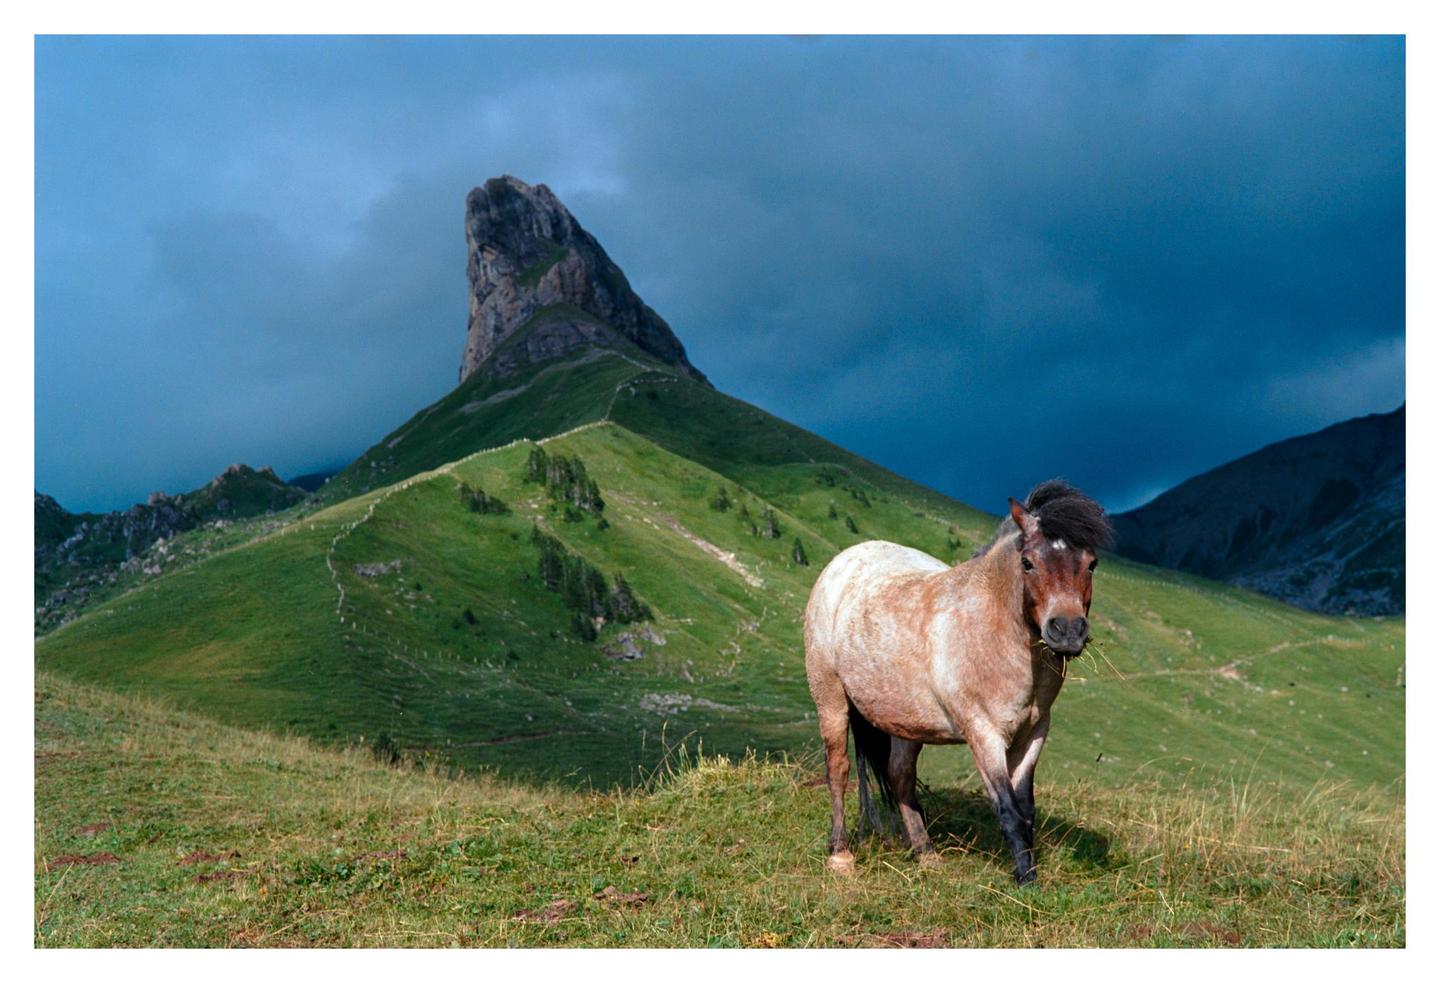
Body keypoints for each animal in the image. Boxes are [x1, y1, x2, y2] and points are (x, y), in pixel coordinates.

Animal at [803, 480, 1112, 885]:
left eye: (1091, 563)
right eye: (1028, 562)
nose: (1068, 631)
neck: (991, 631)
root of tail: (842, 562)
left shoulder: (1033, 734)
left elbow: (1026, 808)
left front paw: (1028, 869)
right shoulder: (983, 733)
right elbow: (1008, 810)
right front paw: (1026, 881)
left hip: (906, 723)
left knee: (900, 776)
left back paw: (926, 853)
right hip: (831, 700)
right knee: (837, 769)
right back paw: (840, 853)